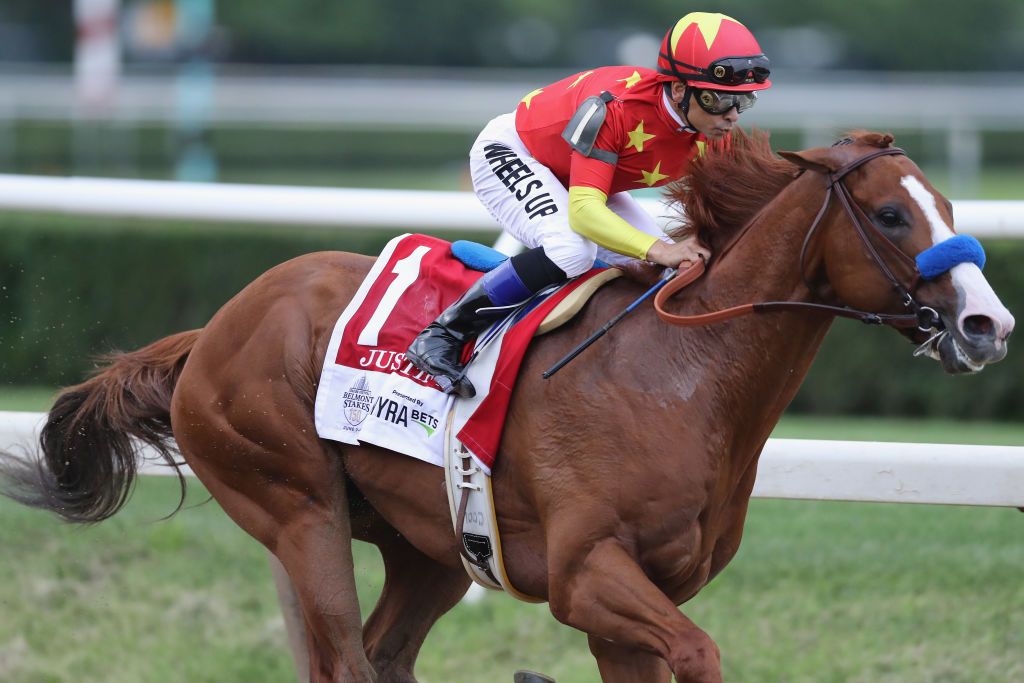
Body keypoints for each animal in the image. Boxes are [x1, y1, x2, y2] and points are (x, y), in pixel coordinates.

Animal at [0, 131, 1011, 679]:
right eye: (891, 215)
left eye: (949, 203)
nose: (987, 322)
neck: (686, 374)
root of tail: (211, 329)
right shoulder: (587, 573)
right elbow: (699, 652)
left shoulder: (639, 592)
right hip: (296, 506)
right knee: (344, 657)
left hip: (429, 544)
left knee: (387, 651)